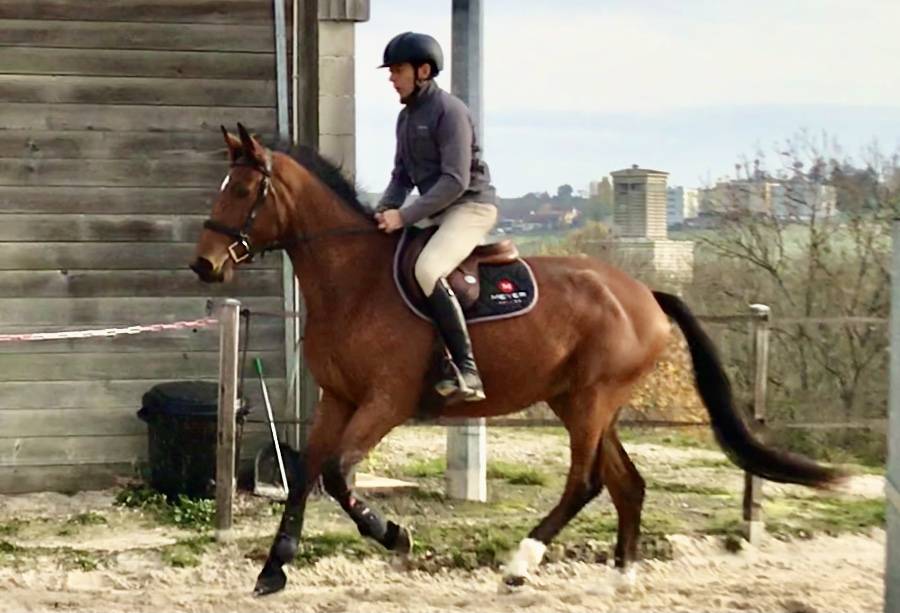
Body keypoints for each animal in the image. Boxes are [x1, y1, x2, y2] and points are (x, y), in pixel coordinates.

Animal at [191, 124, 843, 596]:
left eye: (244, 191)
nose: (205, 265)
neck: (353, 279)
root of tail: (643, 293)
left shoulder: (385, 401)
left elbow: (336, 474)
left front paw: (395, 536)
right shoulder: (338, 399)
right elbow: (306, 474)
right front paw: (273, 570)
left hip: (590, 400)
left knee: (586, 482)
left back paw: (522, 563)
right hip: (580, 400)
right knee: (626, 484)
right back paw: (622, 576)